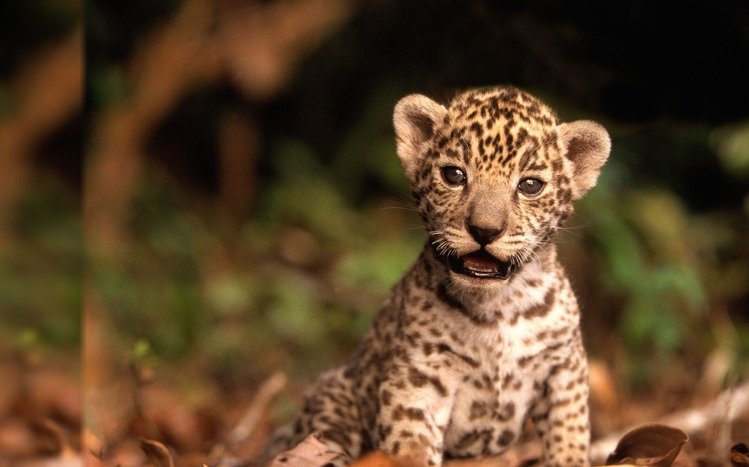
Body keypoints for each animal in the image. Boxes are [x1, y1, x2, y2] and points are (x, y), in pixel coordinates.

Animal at [269, 86, 610, 467]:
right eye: (454, 175)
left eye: (531, 185)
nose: (485, 229)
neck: (499, 307)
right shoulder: (419, 378)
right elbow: (412, 444)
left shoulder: (564, 367)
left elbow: (569, 430)